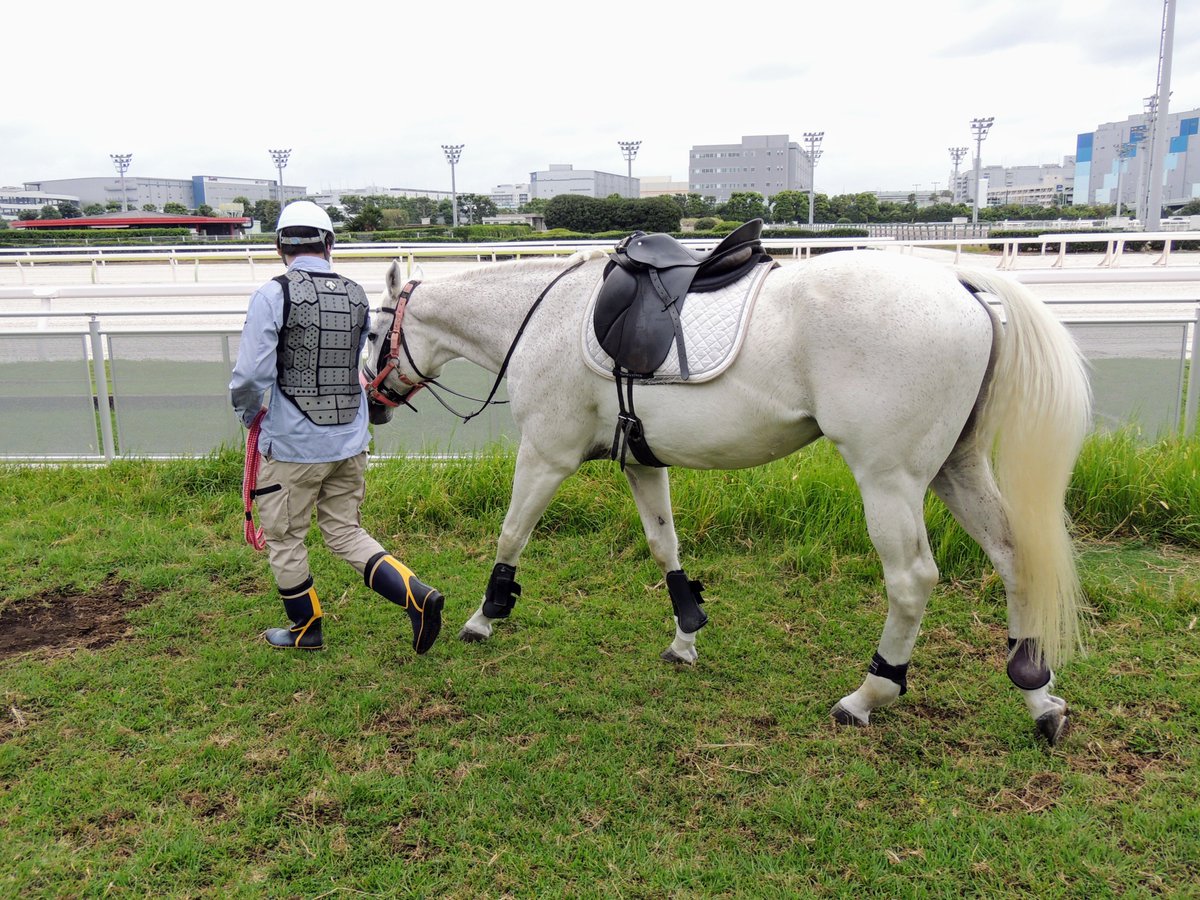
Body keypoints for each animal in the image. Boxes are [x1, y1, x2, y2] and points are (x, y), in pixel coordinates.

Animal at [363, 246, 1091, 745]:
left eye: (371, 333)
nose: (370, 406)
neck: (544, 318)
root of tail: (958, 282)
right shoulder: (642, 462)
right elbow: (664, 545)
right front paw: (686, 632)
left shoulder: (545, 454)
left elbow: (512, 533)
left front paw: (485, 615)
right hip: (955, 469)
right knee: (1013, 557)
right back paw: (1038, 695)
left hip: (892, 479)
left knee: (912, 580)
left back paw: (869, 694)